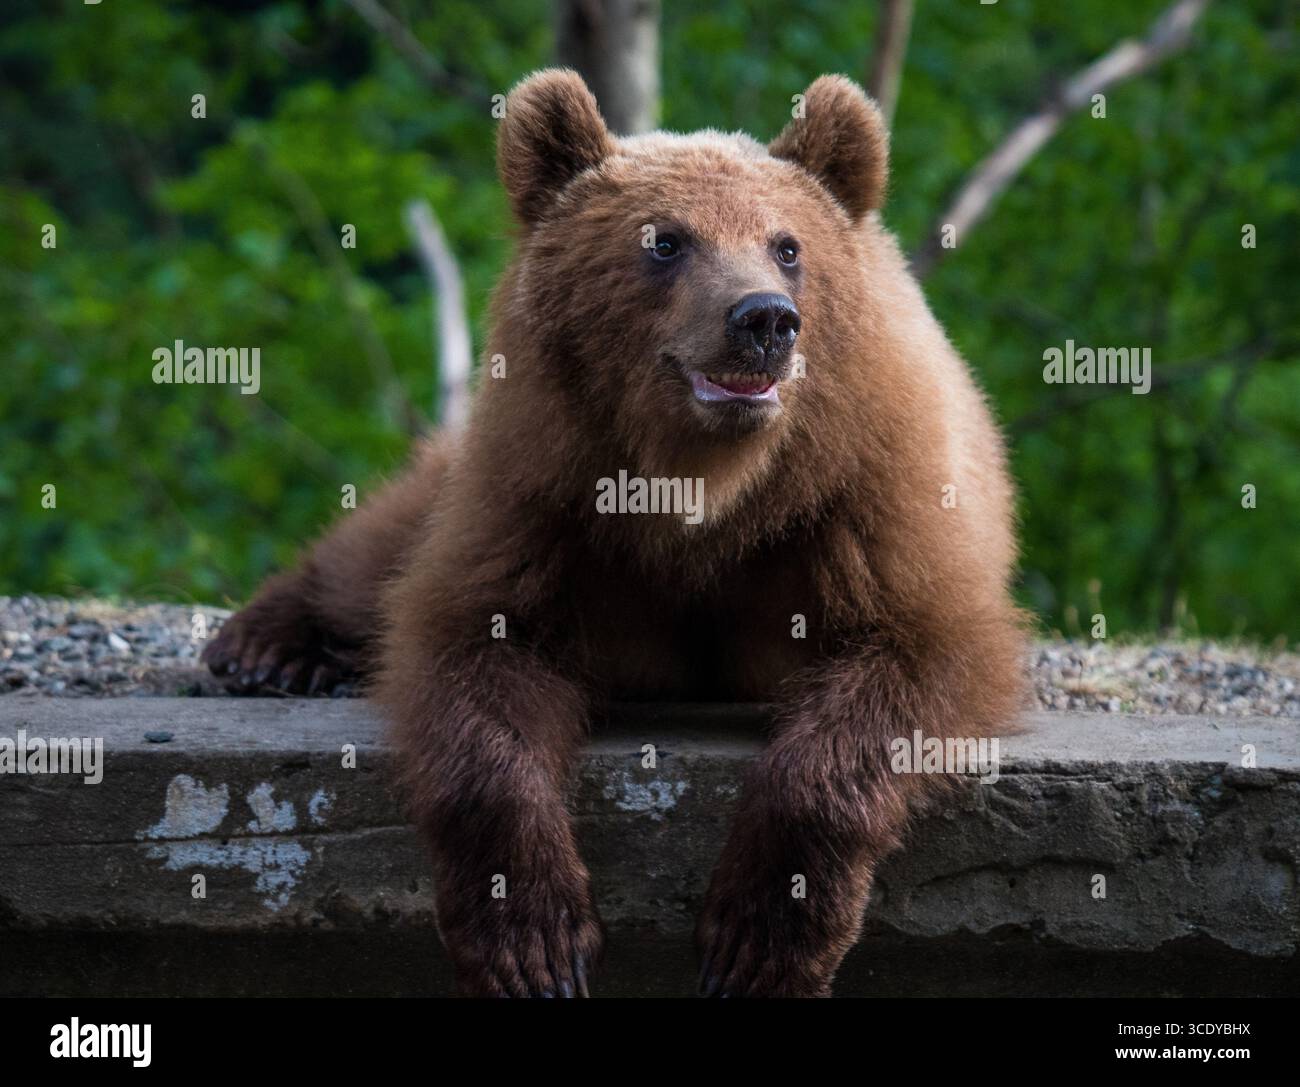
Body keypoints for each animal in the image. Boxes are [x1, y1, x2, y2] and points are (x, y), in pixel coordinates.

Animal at [203, 68, 1026, 997]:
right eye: (665, 240)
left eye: (787, 245)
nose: (764, 320)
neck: (707, 487)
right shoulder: (547, 496)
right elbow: (472, 651)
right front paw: (530, 935)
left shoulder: (863, 497)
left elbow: (913, 654)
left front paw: (761, 934)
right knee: (380, 551)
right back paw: (264, 647)